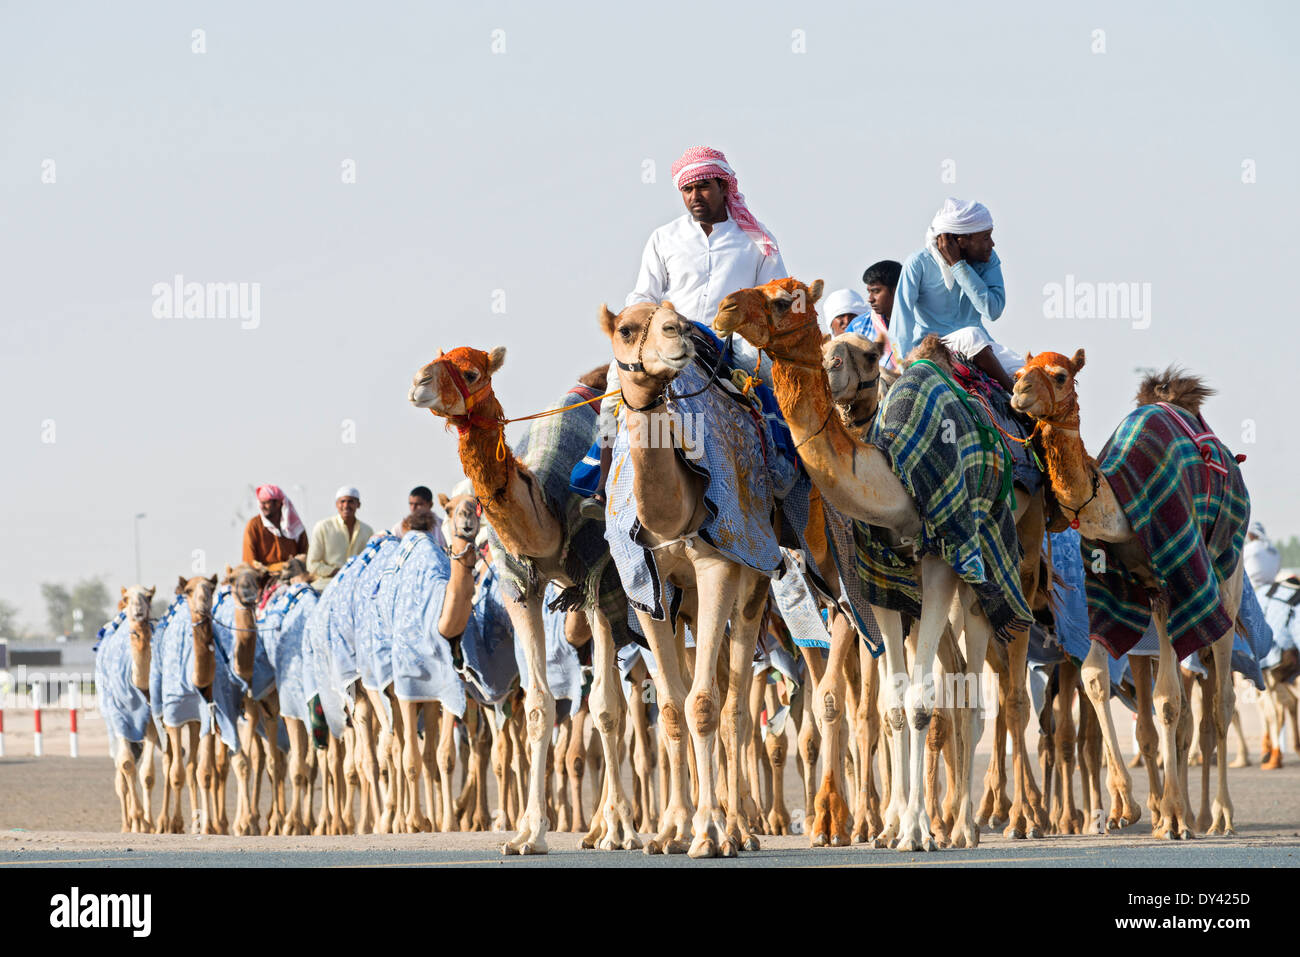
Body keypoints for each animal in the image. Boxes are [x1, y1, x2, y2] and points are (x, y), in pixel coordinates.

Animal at [410, 345, 639, 852]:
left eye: (471, 371)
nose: (418, 383)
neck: (546, 506)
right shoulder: (520, 587)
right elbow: (538, 707)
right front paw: (528, 834)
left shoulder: (600, 580)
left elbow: (604, 708)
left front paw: (624, 831)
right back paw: (596, 828)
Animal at [717, 278, 1029, 852]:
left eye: (785, 299)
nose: (725, 307)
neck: (894, 485)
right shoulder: (878, 580)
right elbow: (894, 706)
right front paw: (900, 828)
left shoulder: (939, 561)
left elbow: (924, 702)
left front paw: (918, 832)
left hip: (979, 577)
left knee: (969, 691)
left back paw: (965, 827)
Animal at [1003, 353, 1248, 837]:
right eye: (1022, 371)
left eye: (1060, 375)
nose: (1019, 392)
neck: (1116, 508)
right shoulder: (1114, 589)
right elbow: (1097, 676)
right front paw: (1130, 808)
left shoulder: (1176, 583)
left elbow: (1168, 699)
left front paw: (1173, 818)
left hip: (1226, 579)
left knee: (1220, 702)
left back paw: (1220, 816)